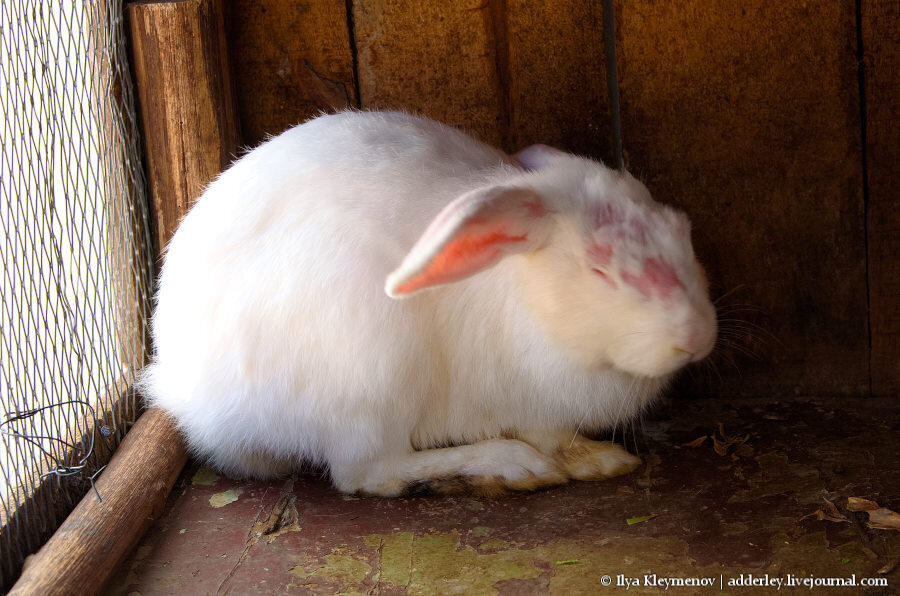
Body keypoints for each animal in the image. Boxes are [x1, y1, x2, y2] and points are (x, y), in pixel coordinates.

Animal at [142, 109, 716, 496]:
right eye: (600, 268)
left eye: (682, 229)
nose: (697, 338)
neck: (529, 303)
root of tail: (195, 403)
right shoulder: (527, 405)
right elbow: (555, 438)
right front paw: (601, 461)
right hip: (373, 380)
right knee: (370, 473)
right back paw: (512, 466)